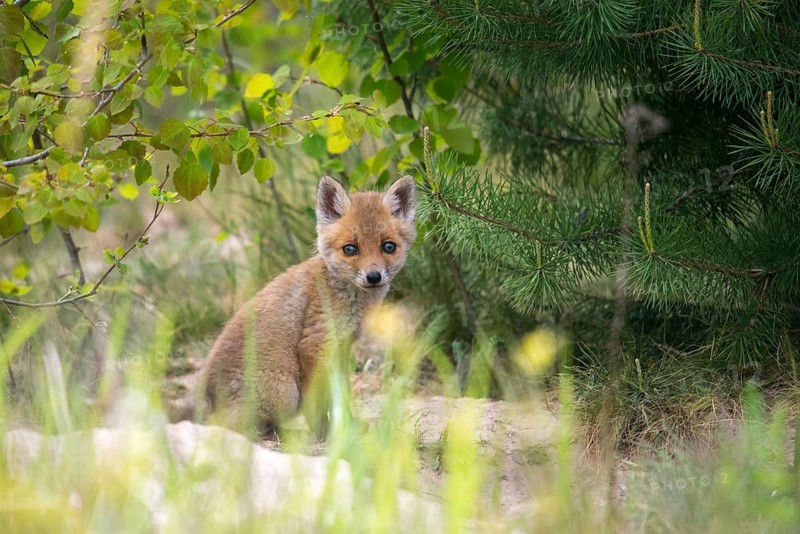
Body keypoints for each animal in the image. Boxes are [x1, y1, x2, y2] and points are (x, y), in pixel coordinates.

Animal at [198, 175, 417, 436]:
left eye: (388, 247)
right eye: (350, 249)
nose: (373, 277)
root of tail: (206, 399)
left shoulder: (342, 348)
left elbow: (342, 395)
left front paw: (348, 427)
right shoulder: (314, 345)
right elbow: (317, 403)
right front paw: (323, 432)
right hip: (285, 392)